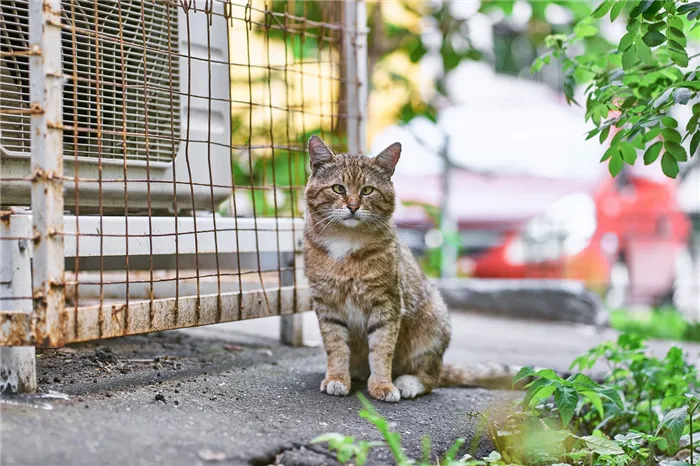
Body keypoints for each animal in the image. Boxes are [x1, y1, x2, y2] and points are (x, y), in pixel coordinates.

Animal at [304, 135, 524, 400]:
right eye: (338, 188)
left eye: (367, 190)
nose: (353, 206)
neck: (346, 242)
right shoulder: (327, 304)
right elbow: (335, 346)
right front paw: (337, 378)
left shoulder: (387, 303)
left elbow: (382, 349)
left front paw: (382, 385)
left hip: (433, 324)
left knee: (431, 377)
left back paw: (408, 382)